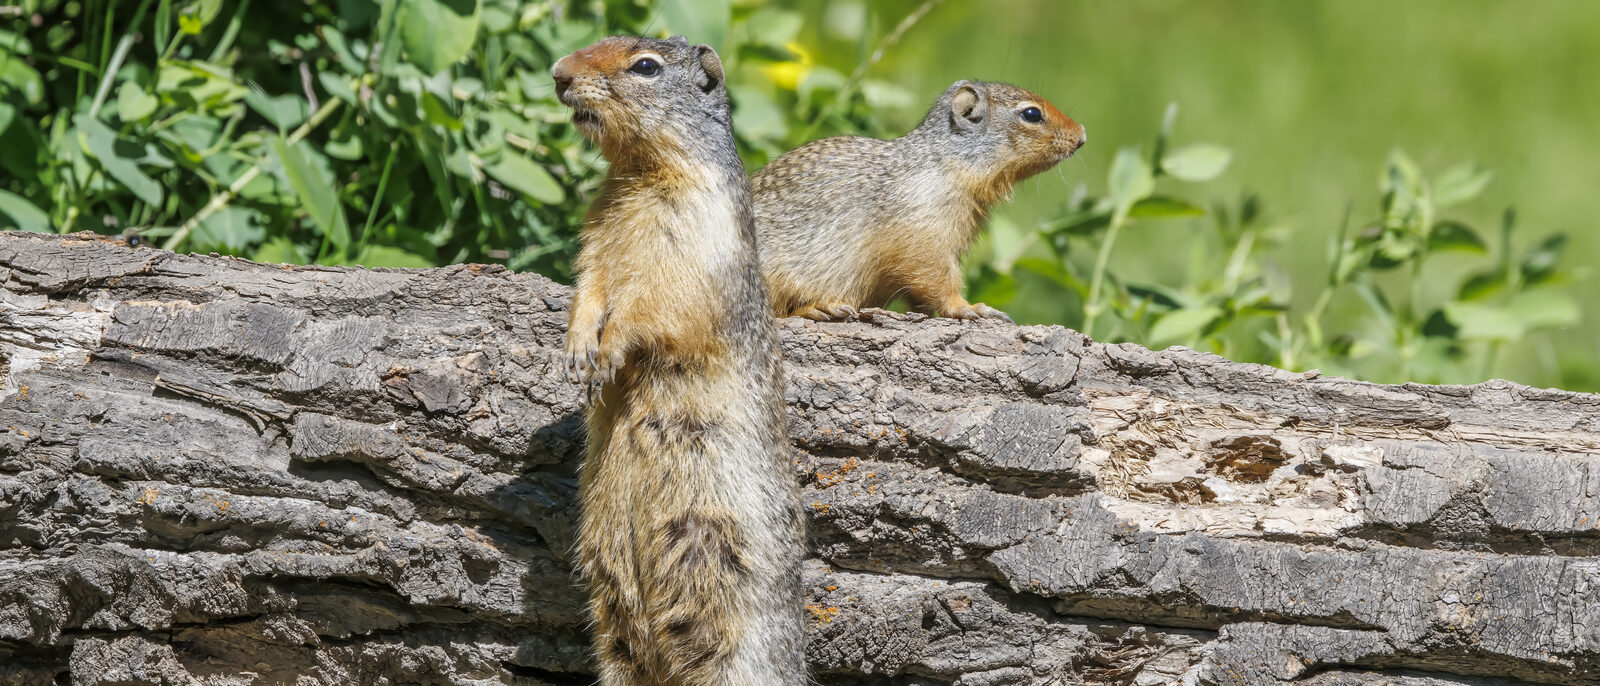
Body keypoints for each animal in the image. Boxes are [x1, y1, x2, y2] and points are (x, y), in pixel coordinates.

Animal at [551, 36, 805, 685]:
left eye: (645, 66)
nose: (559, 73)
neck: (639, 173)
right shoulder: (597, 232)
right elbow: (590, 285)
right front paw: (577, 349)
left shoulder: (693, 234)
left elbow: (656, 304)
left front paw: (607, 353)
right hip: (614, 616)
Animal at [751, 80, 1086, 323]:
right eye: (1032, 114)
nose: (1082, 134)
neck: (946, 163)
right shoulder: (924, 232)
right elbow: (936, 277)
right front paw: (972, 308)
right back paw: (819, 308)